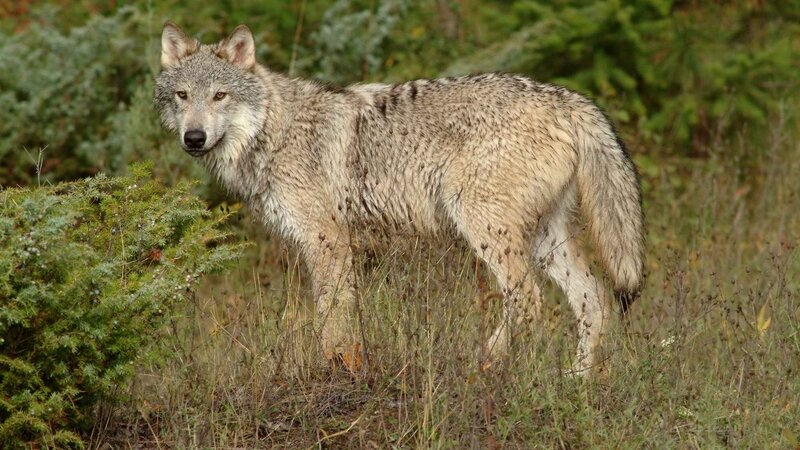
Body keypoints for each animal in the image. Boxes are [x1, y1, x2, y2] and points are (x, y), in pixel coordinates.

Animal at [155, 22, 644, 374]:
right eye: (183, 96)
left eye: (220, 95)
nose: (193, 138)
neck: (273, 131)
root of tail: (569, 98)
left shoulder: (327, 242)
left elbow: (330, 319)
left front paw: (333, 370)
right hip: (545, 242)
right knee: (595, 300)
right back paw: (576, 385)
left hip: (486, 229)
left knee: (528, 300)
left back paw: (487, 362)